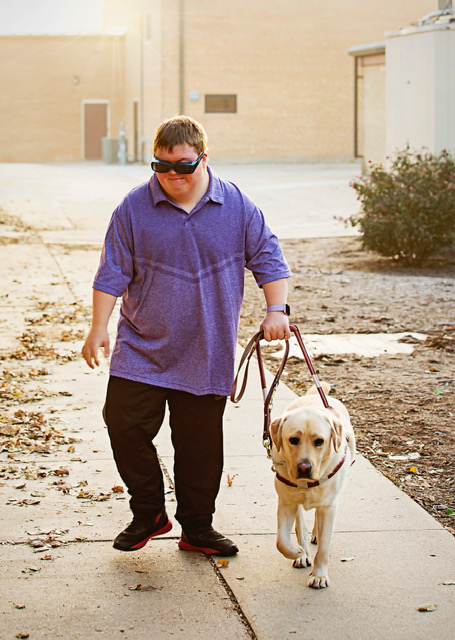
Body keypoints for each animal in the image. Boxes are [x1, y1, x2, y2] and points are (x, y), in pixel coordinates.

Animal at [270, 382, 356, 588]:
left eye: (319, 441)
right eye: (293, 440)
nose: (304, 467)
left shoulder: (329, 506)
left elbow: (324, 546)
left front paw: (319, 575)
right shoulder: (286, 503)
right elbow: (281, 541)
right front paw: (297, 552)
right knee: (300, 525)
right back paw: (303, 552)